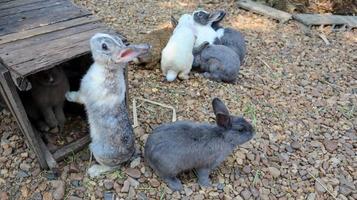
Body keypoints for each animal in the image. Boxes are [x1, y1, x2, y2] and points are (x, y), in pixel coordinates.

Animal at [65, 32, 149, 177]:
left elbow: (77, 97)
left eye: (104, 46)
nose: (93, 37)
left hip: (98, 151)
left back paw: (93, 170)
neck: (107, 68)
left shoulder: (84, 94)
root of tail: (125, 157)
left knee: (112, 167)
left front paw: (67, 95)